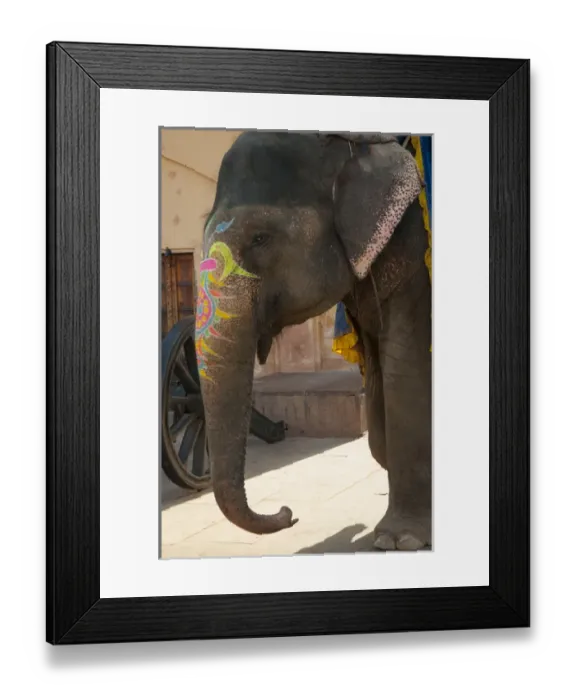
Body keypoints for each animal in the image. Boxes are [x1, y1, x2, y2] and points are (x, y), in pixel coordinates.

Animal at [194, 130, 432, 551]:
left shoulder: (413, 254)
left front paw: (398, 539)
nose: (287, 513)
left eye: (260, 238)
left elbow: (405, 371)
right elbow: (379, 393)